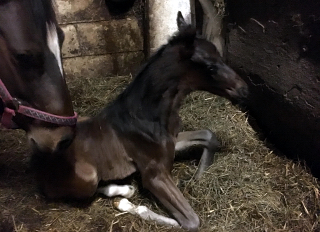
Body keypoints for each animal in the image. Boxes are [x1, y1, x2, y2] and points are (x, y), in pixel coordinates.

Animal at [32, 11, 248, 231]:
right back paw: (122, 196)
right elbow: (190, 221)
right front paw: (136, 208)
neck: (148, 116)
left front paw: (198, 175)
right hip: (87, 177)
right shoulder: (154, 173)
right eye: (210, 67)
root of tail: (37, 158)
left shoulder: (171, 142)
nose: (244, 89)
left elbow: (209, 136)